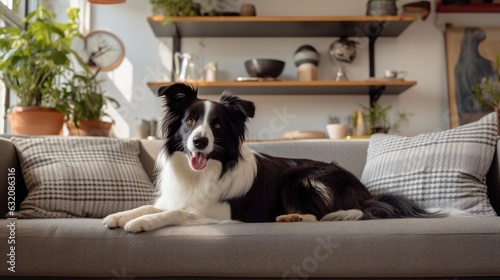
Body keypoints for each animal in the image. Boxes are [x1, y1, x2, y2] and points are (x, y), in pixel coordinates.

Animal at [102, 83, 438, 234]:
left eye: (218, 126)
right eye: (190, 121)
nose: (200, 141)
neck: (205, 172)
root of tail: (366, 193)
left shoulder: (222, 213)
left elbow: (175, 213)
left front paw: (143, 222)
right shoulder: (177, 196)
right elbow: (154, 205)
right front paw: (121, 215)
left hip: (300, 176)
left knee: (321, 215)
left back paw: (293, 217)